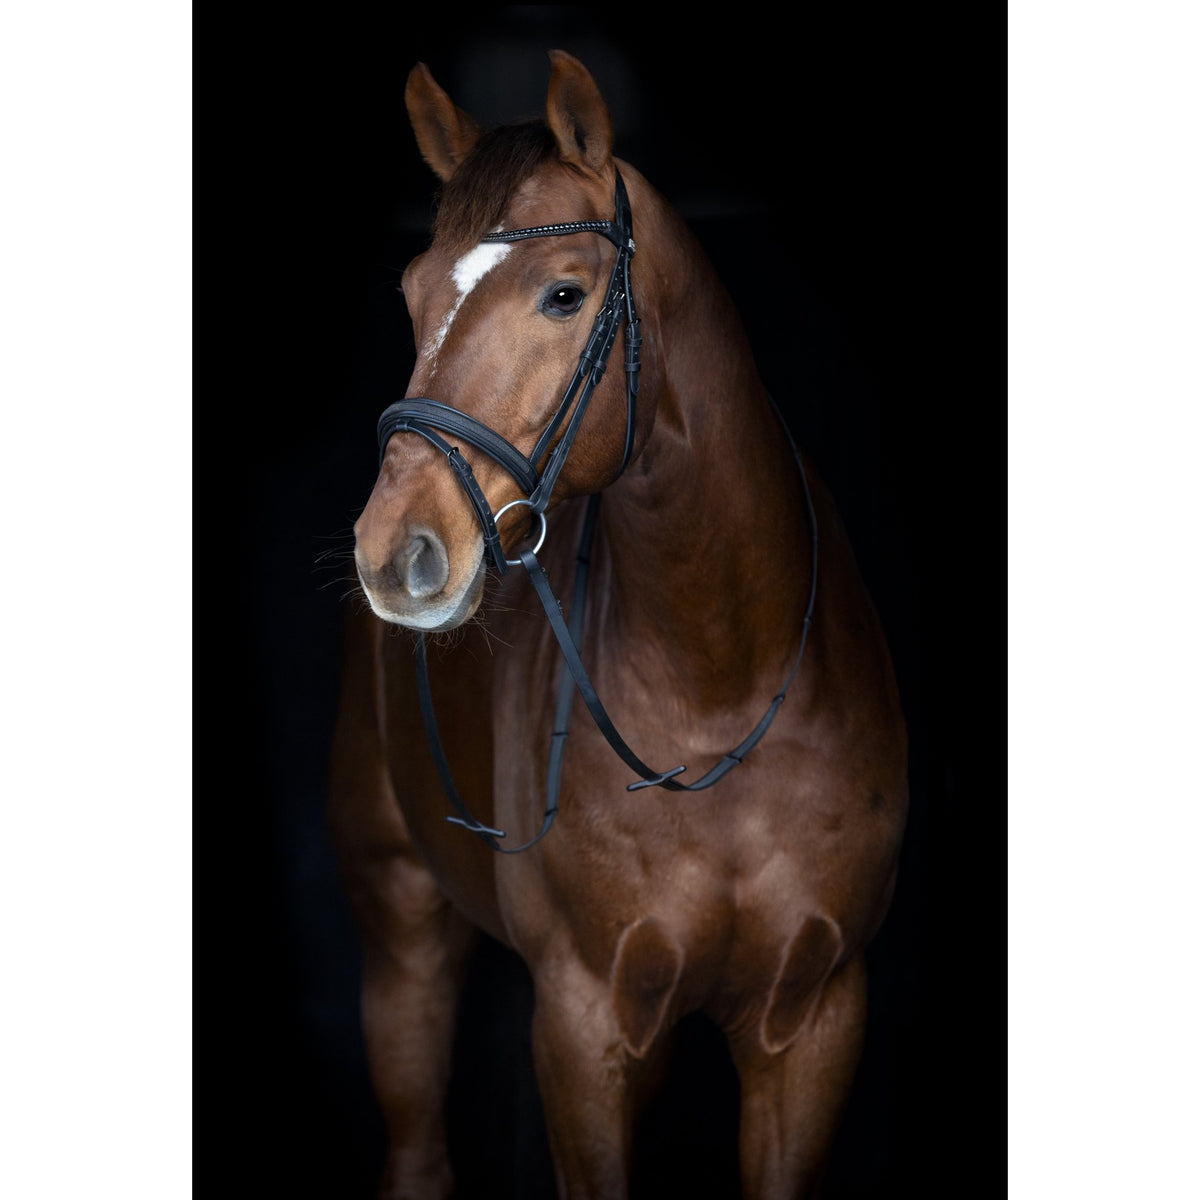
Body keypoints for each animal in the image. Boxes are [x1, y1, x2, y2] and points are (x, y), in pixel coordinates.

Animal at [328, 50, 908, 1199]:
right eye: (412, 295)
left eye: (564, 293)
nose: (392, 552)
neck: (718, 683)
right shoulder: (582, 1025)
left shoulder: (815, 1022)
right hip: (402, 930)